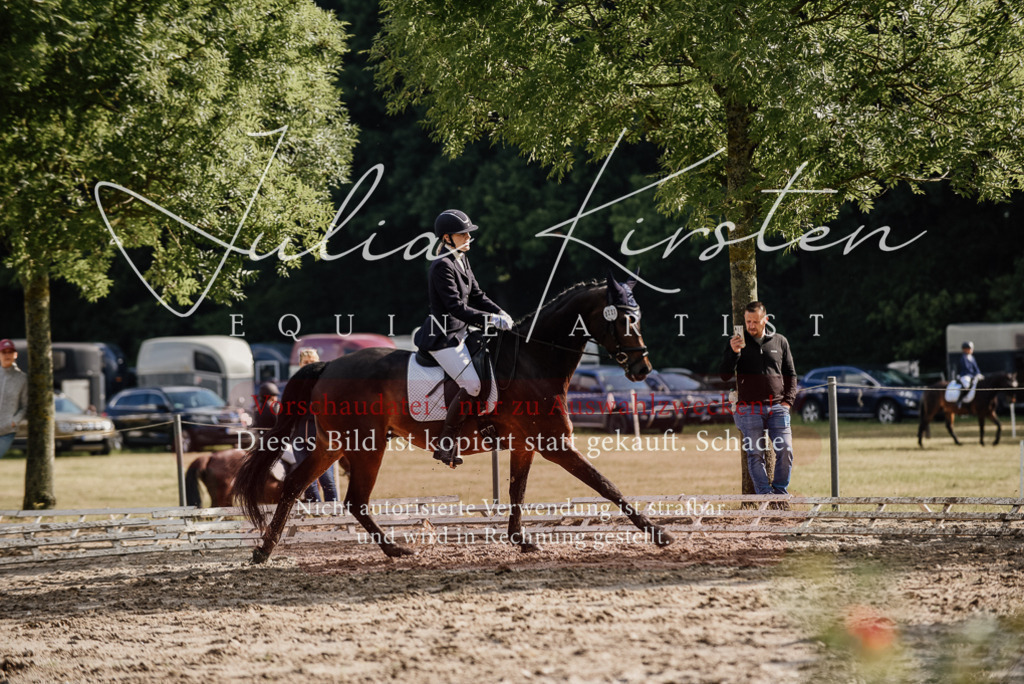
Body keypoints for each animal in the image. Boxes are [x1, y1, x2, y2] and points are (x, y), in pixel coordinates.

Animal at [236, 273, 674, 562]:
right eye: (622, 319)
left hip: (335, 444)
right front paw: (659, 533)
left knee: (295, 486)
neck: (534, 359)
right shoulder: (555, 444)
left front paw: (520, 540)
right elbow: (606, 486)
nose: (642, 369)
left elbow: (517, 492)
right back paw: (394, 549)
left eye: (637, 317)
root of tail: (327, 365)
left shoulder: (525, 445)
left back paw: (264, 550)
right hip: (365, 446)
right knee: (354, 501)